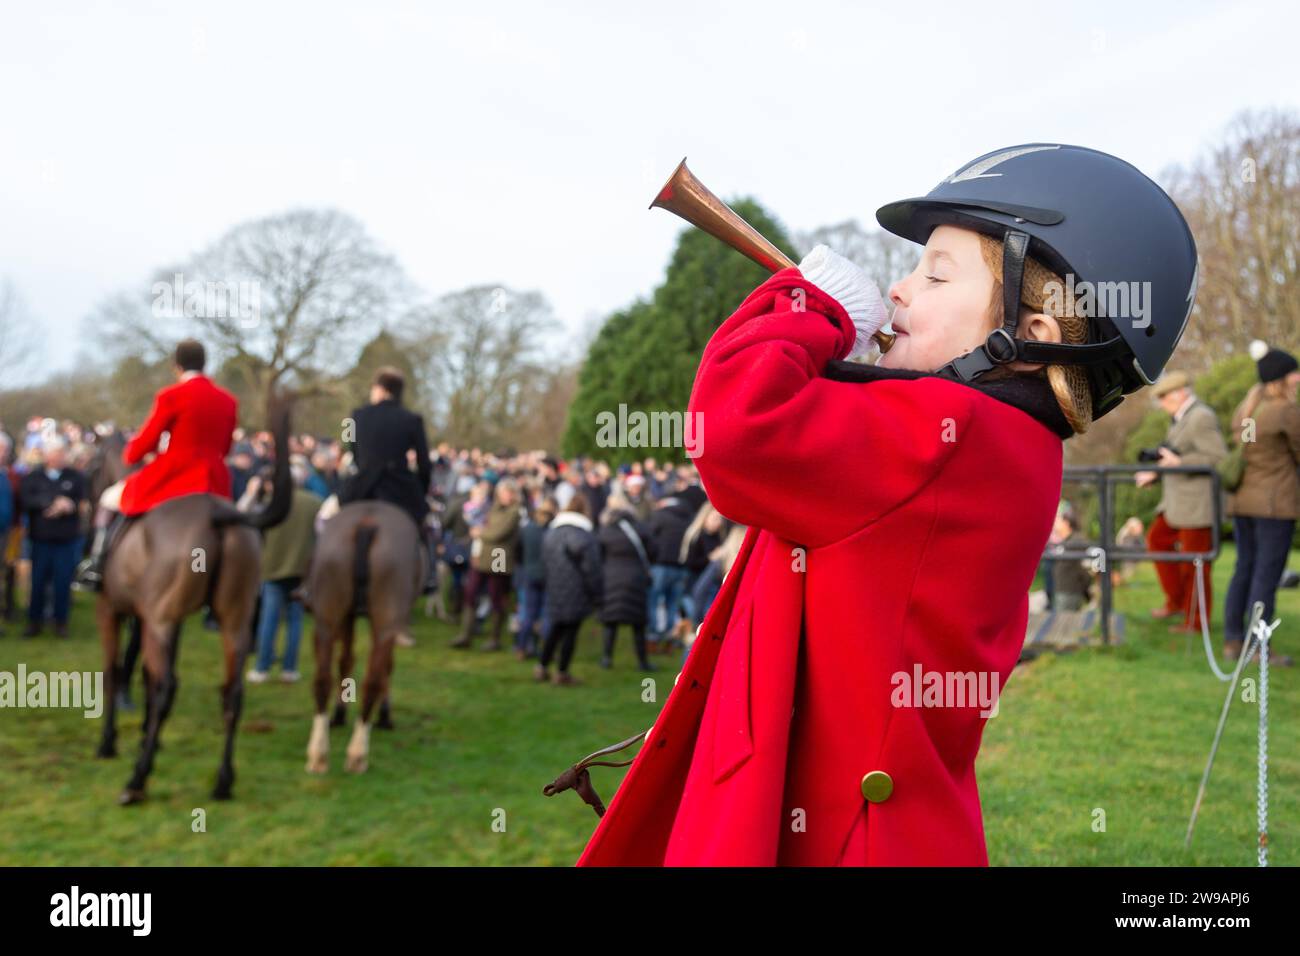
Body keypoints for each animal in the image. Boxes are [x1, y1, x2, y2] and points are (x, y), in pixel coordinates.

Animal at [94, 400, 293, 806]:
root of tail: (221, 515)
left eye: (92, 465)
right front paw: (145, 737)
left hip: (162, 620)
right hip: (232, 620)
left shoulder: (113, 610)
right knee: (232, 693)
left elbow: (114, 671)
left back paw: (136, 781)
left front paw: (110, 744)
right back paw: (223, 782)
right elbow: (142, 672)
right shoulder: (160, 619)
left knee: (167, 688)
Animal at [301, 502, 423, 780]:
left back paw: (318, 754)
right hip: (386, 621)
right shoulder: (390, 625)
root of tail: (366, 523)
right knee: (373, 680)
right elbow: (386, 668)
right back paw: (357, 755)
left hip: (326, 618)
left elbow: (346, 661)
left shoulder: (346, 618)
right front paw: (385, 716)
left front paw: (340, 713)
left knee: (322, 679)